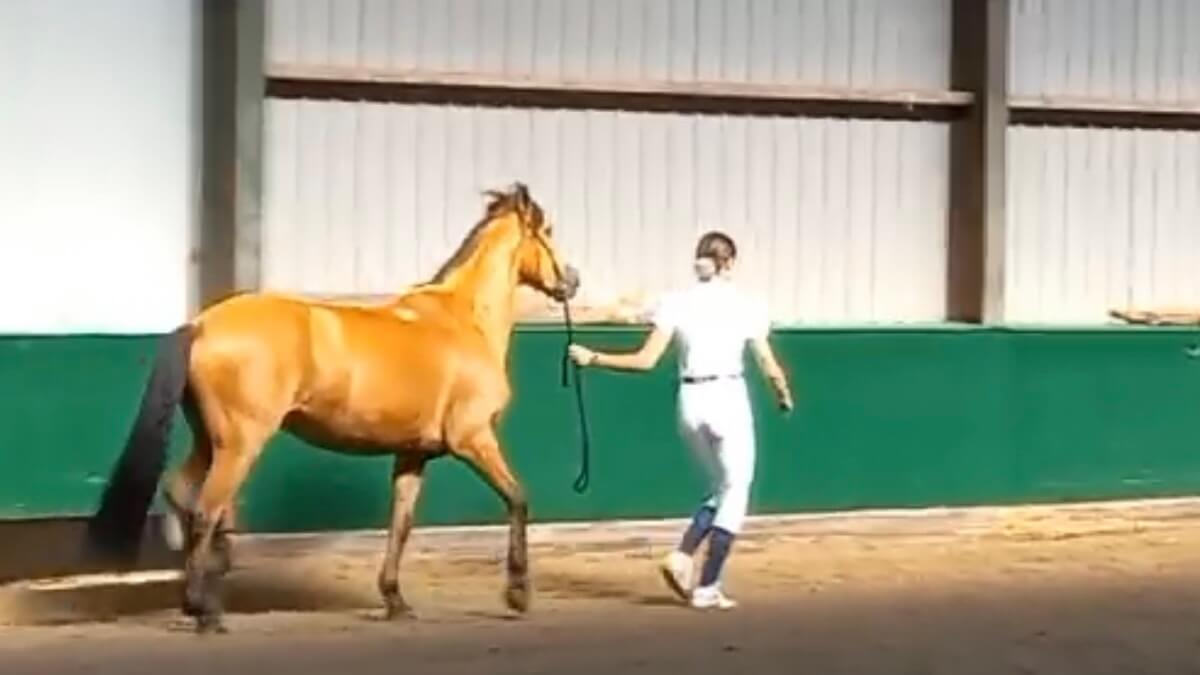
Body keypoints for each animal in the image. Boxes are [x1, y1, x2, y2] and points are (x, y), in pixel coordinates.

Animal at [84, 182, 581, 634]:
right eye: (547, 231)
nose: (571, 280)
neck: (463, 320)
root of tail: (202, 324)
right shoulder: (473, 439)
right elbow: (517, 499)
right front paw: (517, 594)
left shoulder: (412, 455)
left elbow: (400, 525)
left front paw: (395, 601)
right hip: (240, 444)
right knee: (206, 508)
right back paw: (205, 613)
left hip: (210, 440)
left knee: (181, 493)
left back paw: (203, 598)